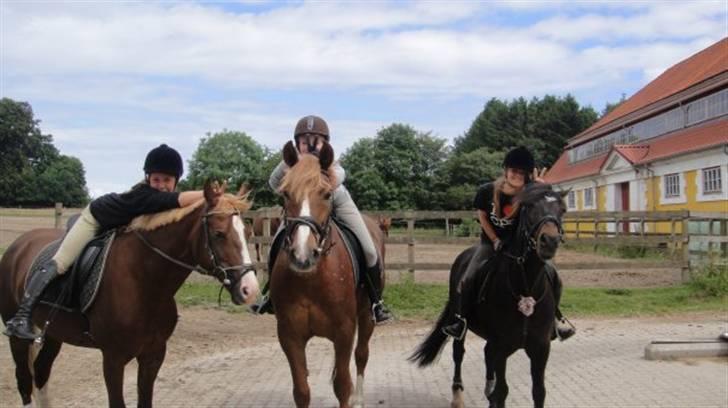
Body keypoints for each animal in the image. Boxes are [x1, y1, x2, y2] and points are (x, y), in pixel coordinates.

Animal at [0, 182, 262, 408]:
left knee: (41, 374)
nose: (250, 290)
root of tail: (18, 245)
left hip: (53, 334)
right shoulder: (113, 360)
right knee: (24, 381)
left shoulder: (153, 355)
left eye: (248, 233)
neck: (144, 282)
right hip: (19, 338)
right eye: (219, 234)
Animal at [272, 141, 384, 408]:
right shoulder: (289, 335)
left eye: (325, 194)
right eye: (285, 193)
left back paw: (359, 399)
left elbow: (342, 386)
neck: (311, 280)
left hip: (367, 316)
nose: (303, 255)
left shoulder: (344, 331)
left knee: (362, 355)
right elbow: (301, 391)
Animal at [412, 184, 564, 408]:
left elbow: (538, 392)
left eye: (562, 210)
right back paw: (458, 395)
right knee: (459, 353)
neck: (525, 287)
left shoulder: (540, 349)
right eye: (530, 208)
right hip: (461, 325)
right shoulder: (501, 347)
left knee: (485, 354)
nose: (549, 241)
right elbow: (503, 391)